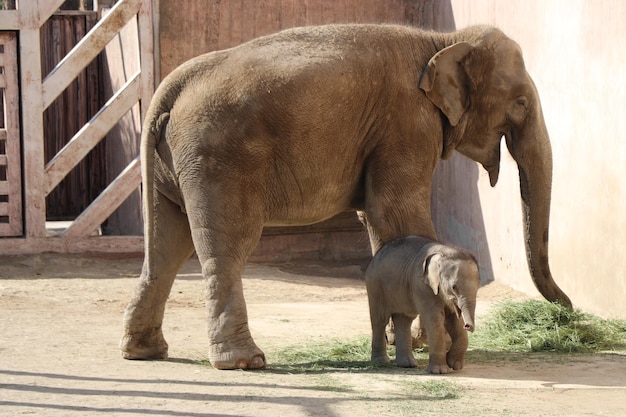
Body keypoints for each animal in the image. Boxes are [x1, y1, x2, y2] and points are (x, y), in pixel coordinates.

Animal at [364, 234, 480, 374]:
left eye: (478, 286)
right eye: (454, 287)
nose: (468, 326)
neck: (443, 251)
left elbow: (453, 319)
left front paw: (454, 364)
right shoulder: (421, 285)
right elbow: (435, 318)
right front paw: (439, 371)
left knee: (403, 320)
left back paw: (408, 364)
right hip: (375, 286)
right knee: (380, 320)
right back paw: (381, 362)